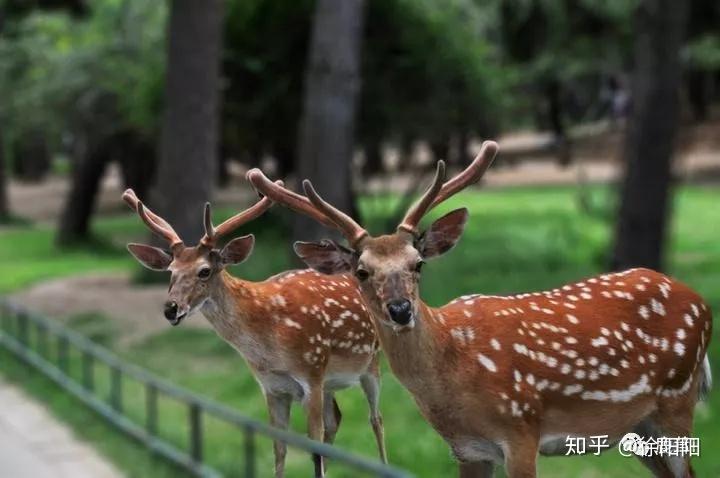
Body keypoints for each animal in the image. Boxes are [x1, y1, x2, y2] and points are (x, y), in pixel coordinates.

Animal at [121, 188, 387, 478]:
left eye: (204, 271)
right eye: (170, 272)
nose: (171, 308)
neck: (268, 346)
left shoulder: (311, 374)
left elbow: (313, 449)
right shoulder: (272, 387)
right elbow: (279, 450)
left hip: (370, 364)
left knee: (376, 419)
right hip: (330, 382)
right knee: (336, 418)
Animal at [247, 140, 713, 478]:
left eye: (417, 263)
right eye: (361, 271)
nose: (400, 310)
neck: (454, 369)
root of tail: (702, 302)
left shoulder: (521, 430)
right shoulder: (468, 449)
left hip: (677, 401)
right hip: (642, 426)